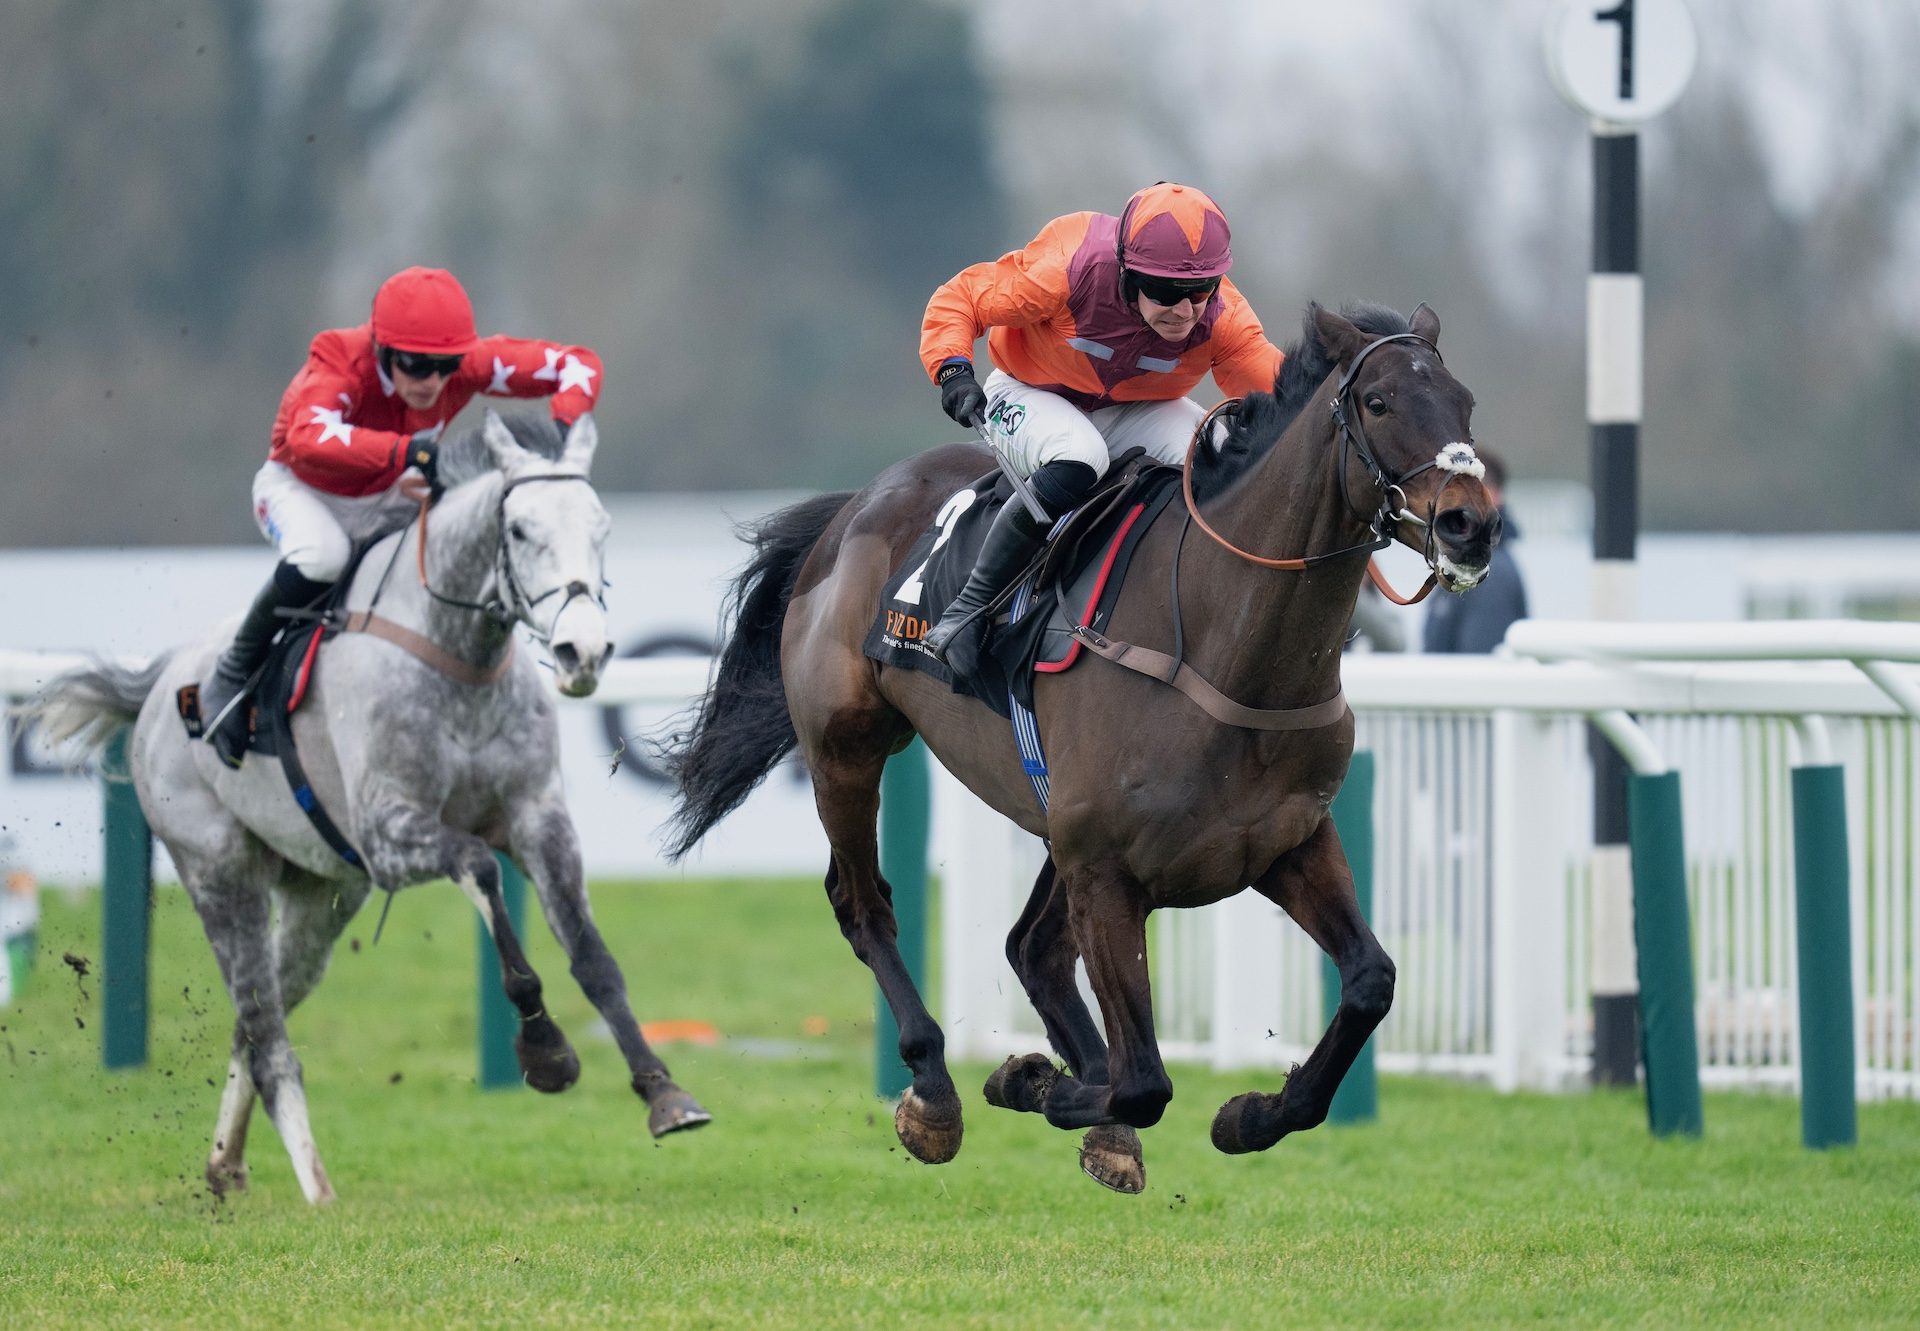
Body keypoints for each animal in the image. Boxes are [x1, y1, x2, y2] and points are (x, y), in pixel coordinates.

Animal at [24, 412, 714, 1206]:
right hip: (219, 871)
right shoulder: (390, 834)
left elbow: (593, 957)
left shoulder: (540, 818)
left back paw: (227, 1163)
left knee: (252, 1025)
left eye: (601, 527)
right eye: (519, 530)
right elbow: (480, 869)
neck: (458, 660)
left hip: (321, 899)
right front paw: (544, 1049)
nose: (584, 651)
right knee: (267, 1035)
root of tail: (162, 684)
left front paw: (664, 1094)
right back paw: (316, 1187)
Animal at [668, 303, 1489, 1190]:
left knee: (1031, 947)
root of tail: (855, 505)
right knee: (866, 905)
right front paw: (1037, 1082)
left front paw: (1250, 1113)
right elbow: (1144, 1081)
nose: (1470, 523)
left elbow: (1371, 981)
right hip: (845, 749)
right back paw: (935, 1091)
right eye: (1377, 401)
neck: (1224, 646)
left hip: (1048, 814)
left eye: (1465, 402)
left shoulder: (1284, 843)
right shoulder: (1105, 867)